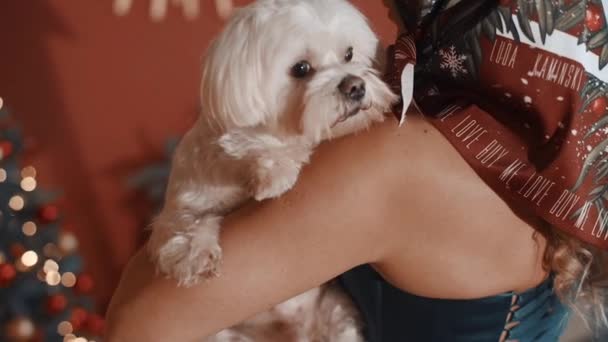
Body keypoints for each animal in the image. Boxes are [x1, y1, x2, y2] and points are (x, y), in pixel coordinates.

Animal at [146, 0, 394, 340]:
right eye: (301, 68)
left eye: (349, 54)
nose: (355, 86)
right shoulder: (182, 204)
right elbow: (187, 221)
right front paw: (195, 254)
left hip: (336, 312)